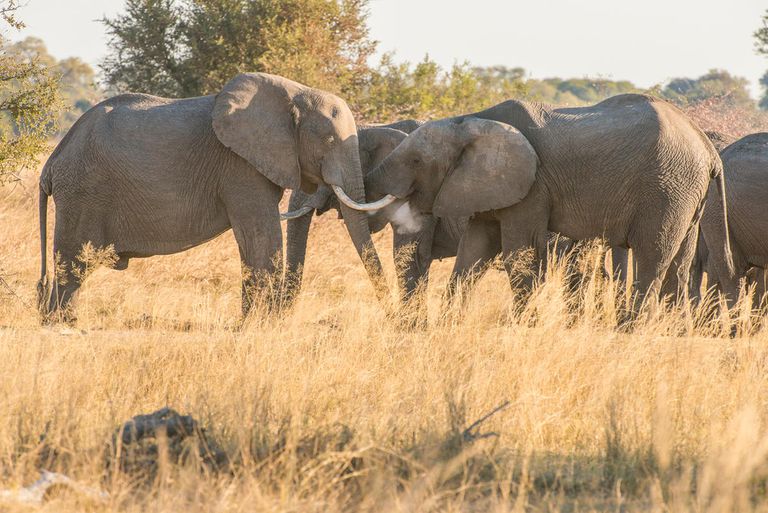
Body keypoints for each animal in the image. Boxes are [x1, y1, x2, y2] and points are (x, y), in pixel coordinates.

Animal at [37, 72, 390, 320]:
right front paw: (263, 325)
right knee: (74, 262)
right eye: (329, 140)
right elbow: (261, 235)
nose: (392, 316)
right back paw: (62, 322)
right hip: (83, 192)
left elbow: (251, 243)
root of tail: (52, 162)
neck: (295, 92)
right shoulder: (239, 165)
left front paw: (251, 323)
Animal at [360, 93, 732, 308]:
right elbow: (474, 253)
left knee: (652, 261)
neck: (470, 121)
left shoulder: (533, 187)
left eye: (416, 161)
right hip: (685, 195)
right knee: (679, 266)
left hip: (666, 189)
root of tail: (708, 147)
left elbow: (518, 256)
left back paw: (628, 335)